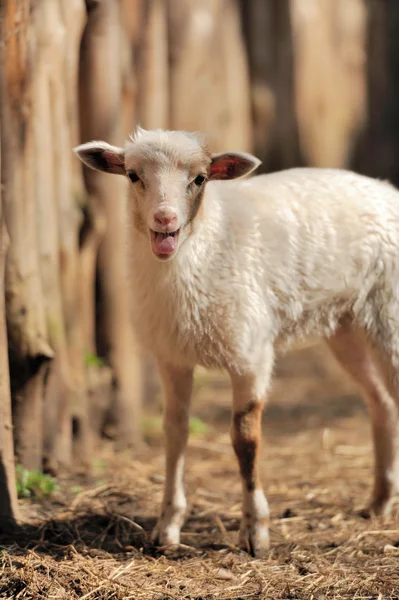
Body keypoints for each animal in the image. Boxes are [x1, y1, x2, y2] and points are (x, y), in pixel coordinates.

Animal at [75, 129, 399, 560]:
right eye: (132, 175)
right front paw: (167, 527)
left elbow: (245, 440)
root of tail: (387, 190)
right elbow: (175, 432)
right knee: (382, 403)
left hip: (389, 313)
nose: (165, 220)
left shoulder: (251, 354)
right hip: (346, 325)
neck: (204, 246)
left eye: (200, 179)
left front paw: (254, 531)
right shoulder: (172, 356)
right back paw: (379, 502)